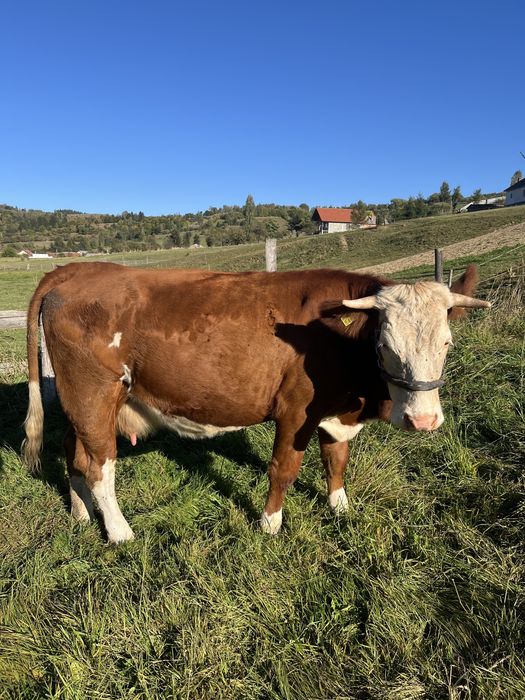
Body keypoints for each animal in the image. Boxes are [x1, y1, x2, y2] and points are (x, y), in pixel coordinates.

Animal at [22, 262, 489, 543]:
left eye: (447, 342)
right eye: (386, 346)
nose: (423, 420)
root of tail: (79, 269)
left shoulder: (334, 413)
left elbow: (336, 459)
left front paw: (340, 507)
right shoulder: (296, 410)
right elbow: (283, 469)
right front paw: (269, 523)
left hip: (82, 403)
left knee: (73, 451)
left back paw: (80, 513)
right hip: (94, 395)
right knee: (100, 465)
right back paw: (119, 531)